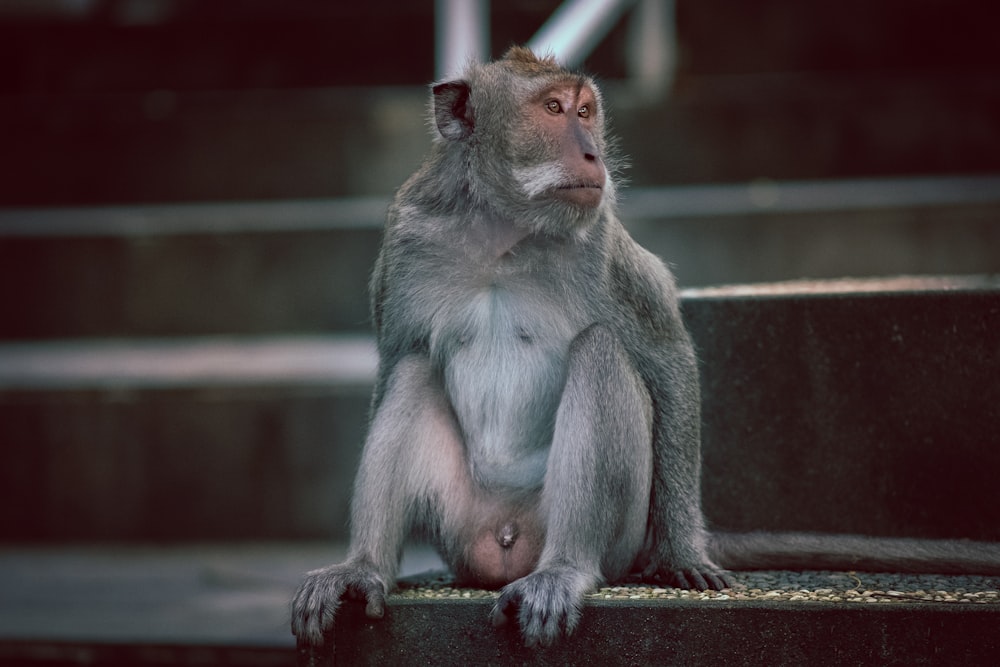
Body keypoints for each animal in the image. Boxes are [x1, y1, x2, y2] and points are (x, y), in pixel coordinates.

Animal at [292, 48, 1000, 652]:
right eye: (552, 108)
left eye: (585, 111)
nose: (591, 153)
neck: (505, 233)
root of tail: (505, 546)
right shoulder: (404, 241)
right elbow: (395, 359)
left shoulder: (604, 247)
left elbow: (666, 358)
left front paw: (683, 553)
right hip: (459, 529)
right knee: (415, 371)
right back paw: (363, 569)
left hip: (615, 535)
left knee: (600, 352)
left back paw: (567, 571)